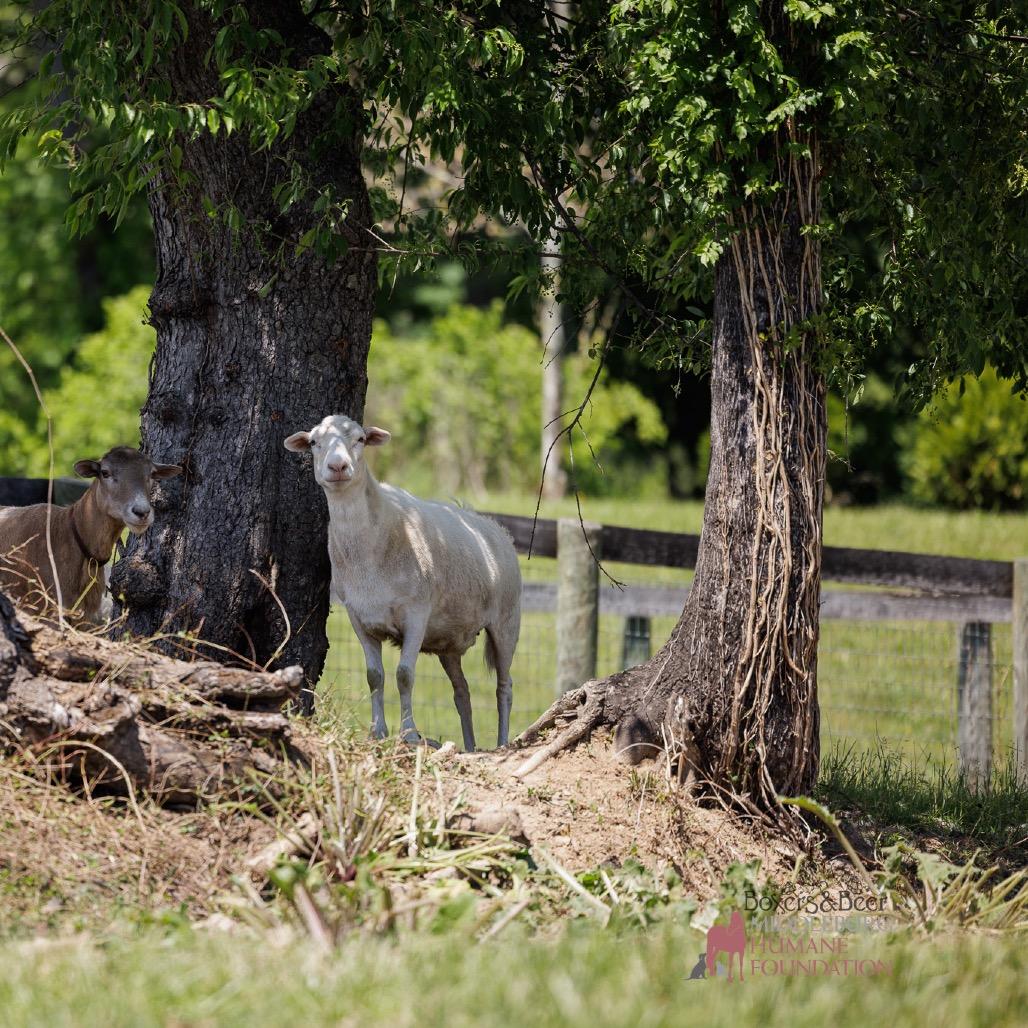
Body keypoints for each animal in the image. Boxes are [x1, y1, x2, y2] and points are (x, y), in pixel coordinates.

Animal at [285, 414, 521, 750]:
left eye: (360, 439)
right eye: (315, 442)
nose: (338, 467)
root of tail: (495, 527)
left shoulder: (416, 613)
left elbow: (404, 675)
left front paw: (408, 734)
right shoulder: (359, 615)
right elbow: (375, 676)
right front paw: (377, 732)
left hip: (507, 621)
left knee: (505, 687)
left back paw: (501, 743)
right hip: (450, 639)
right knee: (462, 692)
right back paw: (469, 746)